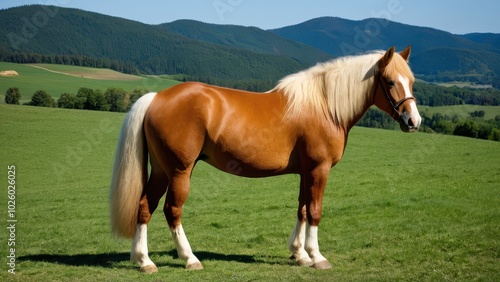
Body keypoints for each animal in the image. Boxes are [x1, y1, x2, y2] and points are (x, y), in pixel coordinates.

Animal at [110, 46, 422, 274]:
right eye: (390, 81)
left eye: (412, 81)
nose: (414, 121)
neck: (324, 106)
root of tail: (156, 97)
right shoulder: (319, 170)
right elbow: (315, 211)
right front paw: (317, 256)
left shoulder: (305, 172)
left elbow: (302, 210)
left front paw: (299, 254)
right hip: (179, 171)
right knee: (172, 211)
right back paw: (190, 258)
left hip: (161, 171)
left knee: (144, 207)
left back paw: (144, 261)